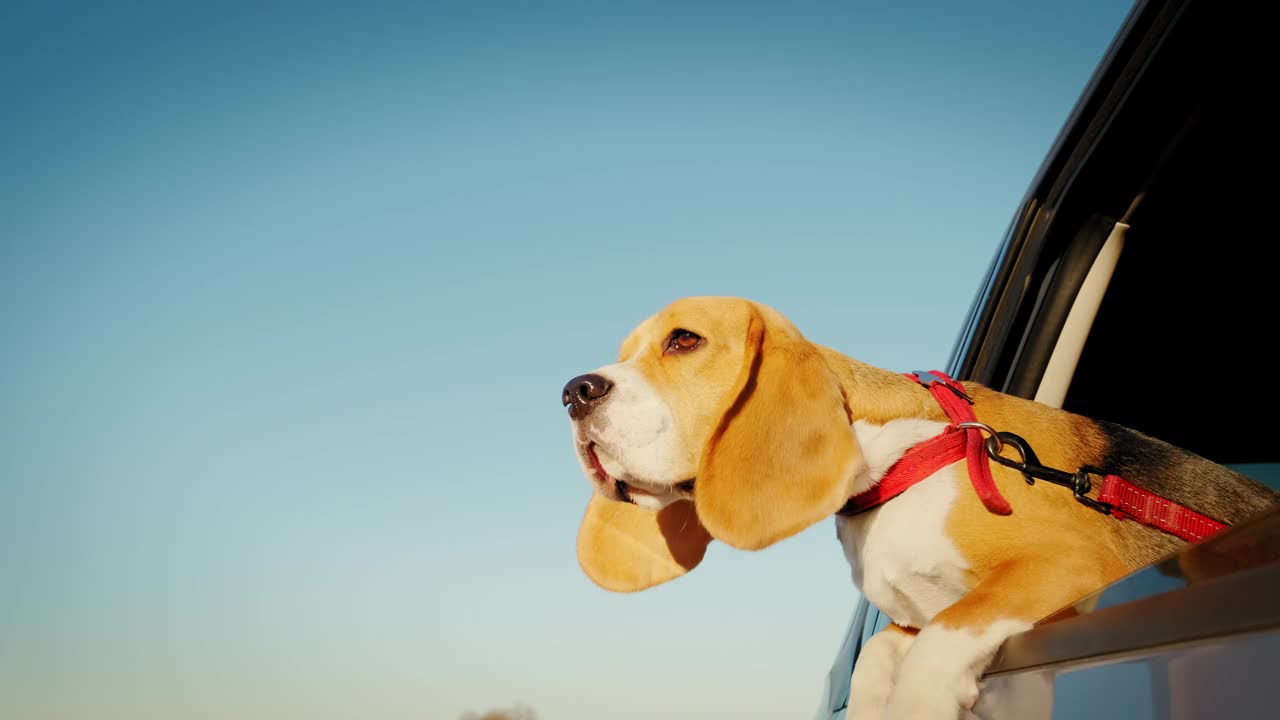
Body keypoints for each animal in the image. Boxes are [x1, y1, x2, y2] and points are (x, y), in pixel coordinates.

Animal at [563, 294, 1280, 712]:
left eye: (683, 340)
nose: (573, 392)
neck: (901, 461)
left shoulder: (1072, 564)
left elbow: (944, 636)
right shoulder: (907, 616)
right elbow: (884, 653)